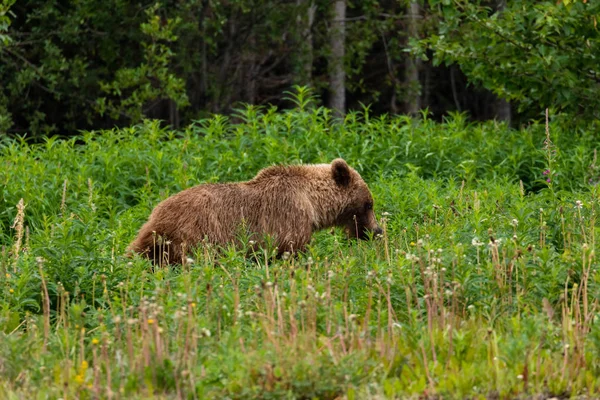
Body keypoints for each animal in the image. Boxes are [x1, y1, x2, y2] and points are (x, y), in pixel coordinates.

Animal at [128, 158, 382, 264]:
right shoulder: (289, 219)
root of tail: (157, 216)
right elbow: (291, 252)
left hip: (148, 239)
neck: (312, 202)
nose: (376, 231)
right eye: (369, 204)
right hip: (195, 236)